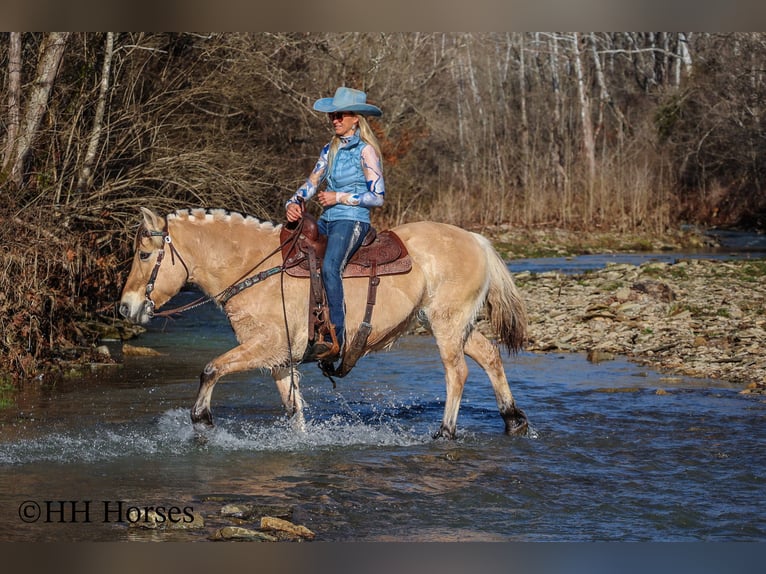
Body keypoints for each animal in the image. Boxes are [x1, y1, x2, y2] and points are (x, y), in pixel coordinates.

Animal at [120, 208, 532, 440]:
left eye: (144, 255)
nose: (125, 308)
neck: (255, 269)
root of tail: (476, 239)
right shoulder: (279, 360)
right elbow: (294, 410)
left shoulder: (265, 347)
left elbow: (211, 368)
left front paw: (202, 420)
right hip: (453, 324)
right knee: (488, 355)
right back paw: (513, 421)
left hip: (446, 322)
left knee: (457, 372)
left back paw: (446, 432)